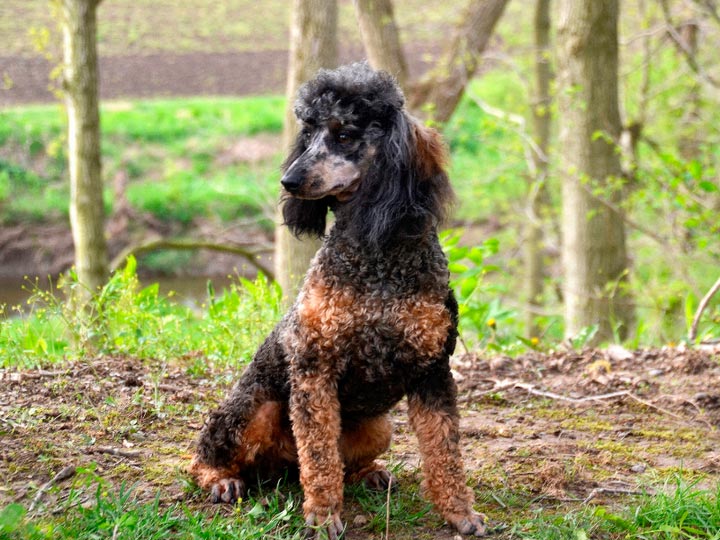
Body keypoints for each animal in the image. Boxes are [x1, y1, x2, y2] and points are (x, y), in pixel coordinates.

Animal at [189, 63, 486, 538]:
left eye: (345, 134)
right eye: (308, 134)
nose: (289, 180)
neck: (377, 254)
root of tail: (280, 468)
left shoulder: (433, 370)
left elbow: (445, 451)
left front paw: (459, 512)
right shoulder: (315, 369)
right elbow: (319, 457)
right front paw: (324, 515)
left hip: (378, 426)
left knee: (342, 462)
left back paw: (369, 474)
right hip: (256, 409)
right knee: (206, 456)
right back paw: (222, 480)